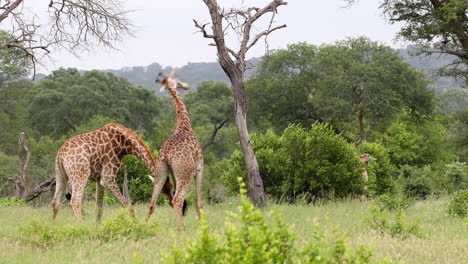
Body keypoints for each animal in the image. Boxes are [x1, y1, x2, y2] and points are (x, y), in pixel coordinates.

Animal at [146, 69, 203, 230]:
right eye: (178, 80)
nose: (186, 86)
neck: (183, 123)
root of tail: (166, 155)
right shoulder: (200, 167)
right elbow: (199, 202)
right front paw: (204, 226)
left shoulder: (173, 173)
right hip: (186, 174)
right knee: (177, 200)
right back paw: (183, 231)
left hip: (161, 172)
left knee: (152, 203)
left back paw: (141, 225)